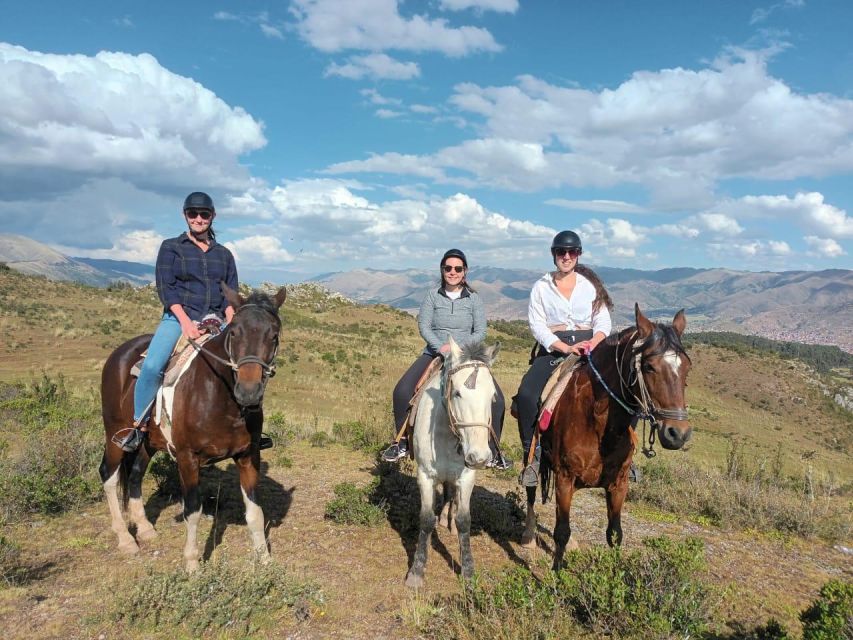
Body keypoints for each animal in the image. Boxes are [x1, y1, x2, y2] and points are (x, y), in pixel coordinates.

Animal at [98, 284, 286, 568]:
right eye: (234, 332)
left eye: (273, 335)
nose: (249, 392)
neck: (220, 396)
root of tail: (119, 353)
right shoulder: (188, 458)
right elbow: (193, 511)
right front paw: (192, 563)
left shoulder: (248, 455)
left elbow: (255, 511)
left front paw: (264, 559)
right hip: (114, 435)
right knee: (109, 476)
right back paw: (126, 539)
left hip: (148, 442)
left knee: (135, 475)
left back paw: (145, 528)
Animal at [404, 338, 500, 588]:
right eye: (457, 393)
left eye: (492, 397)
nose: (479, 457)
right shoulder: (425, 476)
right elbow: (426, 519)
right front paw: (416, 571)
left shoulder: (467, 476)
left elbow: (465, 520)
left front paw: (468, 571)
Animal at [520, 304, 692, 568]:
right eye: (649, 366)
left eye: (686, 368)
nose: (678, 433)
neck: (600, 425)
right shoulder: (564, 479)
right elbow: (561, 532)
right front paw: (557, 575)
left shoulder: (618, 484)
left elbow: (615, 533)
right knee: (530, 491)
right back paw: (528, 537)